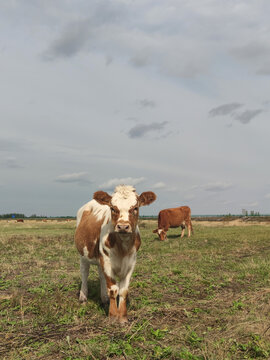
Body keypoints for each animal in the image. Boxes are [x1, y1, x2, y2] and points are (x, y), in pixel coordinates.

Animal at [75, 186, 157, 324]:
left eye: (135, 208)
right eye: (113, 208)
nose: (123, 226)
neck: (122, 247)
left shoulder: (130, 262)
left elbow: (123, 291)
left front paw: (123, 317)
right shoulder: (107, 261)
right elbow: (113, 289)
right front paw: (113, 316)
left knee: (101, 276)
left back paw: (104, 299)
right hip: (83, 255)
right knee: (84, 273)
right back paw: (83, 297)